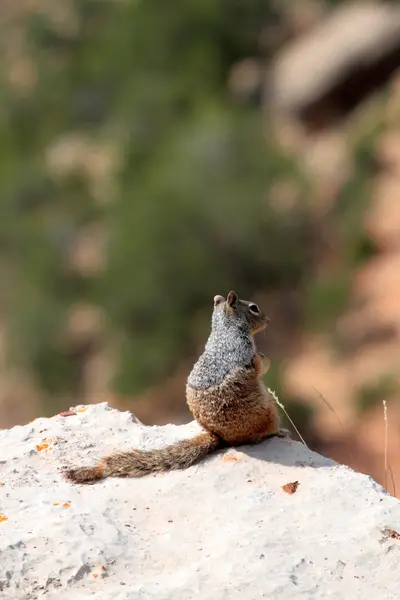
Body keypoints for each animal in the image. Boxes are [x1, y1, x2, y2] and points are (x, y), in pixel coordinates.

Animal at [63, 290, 288, 482]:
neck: (224, 328)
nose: (268, 320)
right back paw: (279, 432)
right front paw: (265, 359)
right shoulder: (246, 352)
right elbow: (258, 366)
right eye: (254, 308)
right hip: (270, 410)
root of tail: (221, 438)